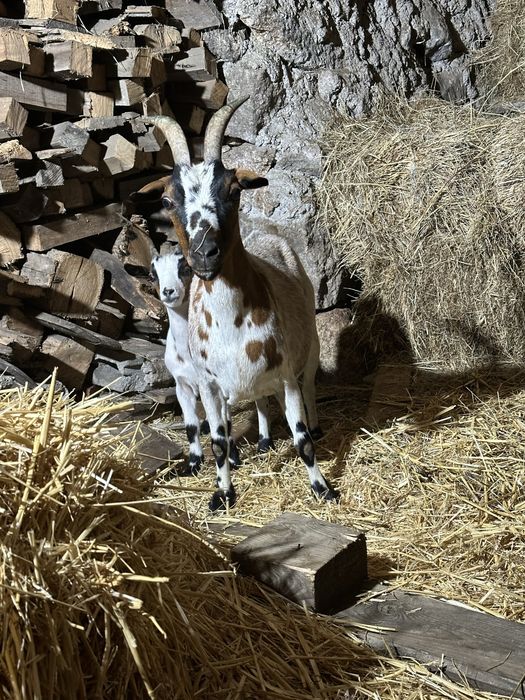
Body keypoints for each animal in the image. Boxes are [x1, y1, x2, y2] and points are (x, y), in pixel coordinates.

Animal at [151, 246, 274, 475]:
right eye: (152, 275)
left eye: (185, 269)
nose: (168, 291)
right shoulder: (182, 385)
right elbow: (191, 426)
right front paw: (193, 464)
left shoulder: (221, 385)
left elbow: (227, 423)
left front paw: (233, 459)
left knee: (261, 400)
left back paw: (264, 443)